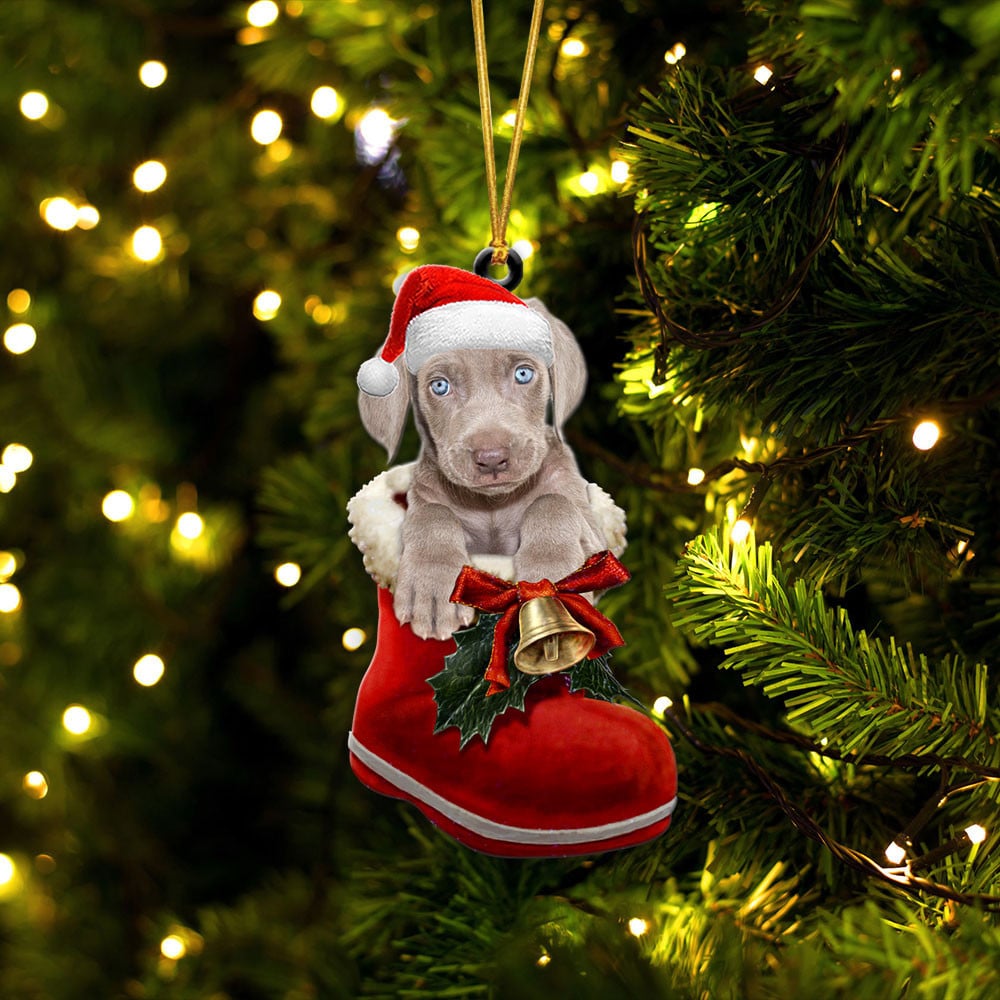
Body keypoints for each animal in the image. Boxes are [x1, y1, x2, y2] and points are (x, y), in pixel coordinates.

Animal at [362, 296, 604, 640]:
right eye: (440, 385)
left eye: (523, 374)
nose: (492, 458)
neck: (492, 506)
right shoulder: (423, 501)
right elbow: (432, 514)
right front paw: (431, 585)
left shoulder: (594, 534)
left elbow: (552, 502)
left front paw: (551, 578)